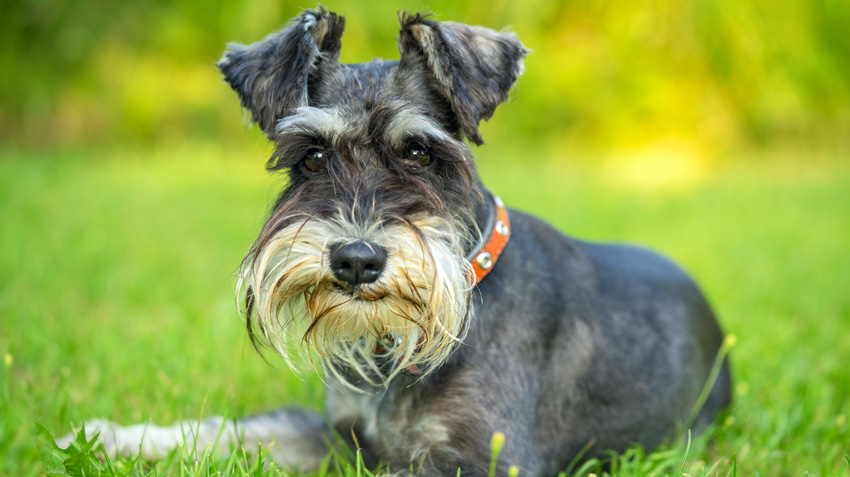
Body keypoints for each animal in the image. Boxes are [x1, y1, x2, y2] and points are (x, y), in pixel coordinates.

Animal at [59, 8, 732, 476]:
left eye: (419, 152)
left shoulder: (484, 457)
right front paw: (111, 438)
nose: (355, 260)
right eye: (311, 156)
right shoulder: (342, 436)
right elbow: (241, 429)